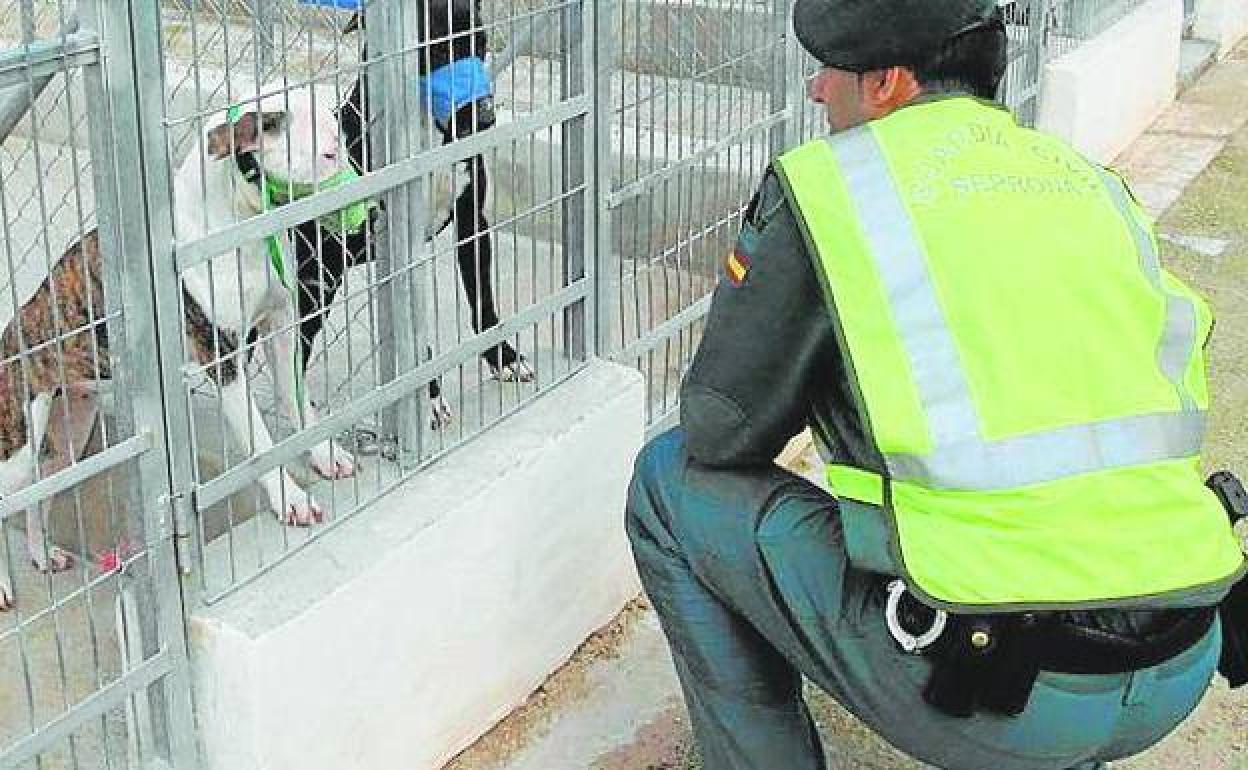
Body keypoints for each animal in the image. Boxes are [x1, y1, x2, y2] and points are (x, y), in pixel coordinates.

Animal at [292, 0, 531, 426]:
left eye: (481, 43)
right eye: (435, 50)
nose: (486, 118)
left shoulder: (472, 223)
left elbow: (484, 303)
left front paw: (504, 357)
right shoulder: (402, 250)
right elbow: (416, 343)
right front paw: (428, 399)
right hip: (316, 279)